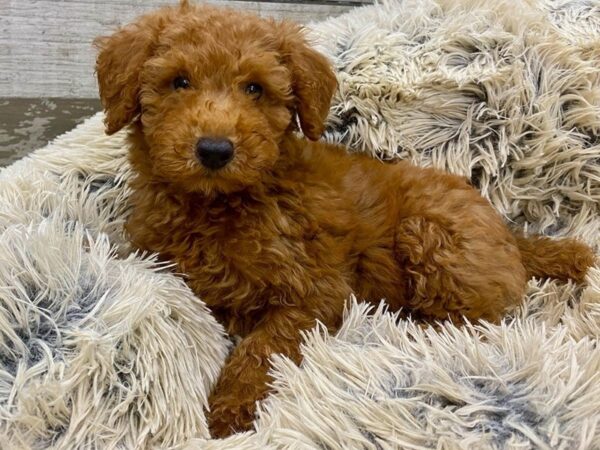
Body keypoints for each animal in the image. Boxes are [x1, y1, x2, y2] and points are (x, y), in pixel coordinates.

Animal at [95, 0, 596, 436]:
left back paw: (406, 328)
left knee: (479, 318)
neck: (220, 204)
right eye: (179, 82)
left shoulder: (315, 290)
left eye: (255, 88)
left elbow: (264, 345)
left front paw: (231, 410)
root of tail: (512, 235)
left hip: (433, 234)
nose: (215, 150)